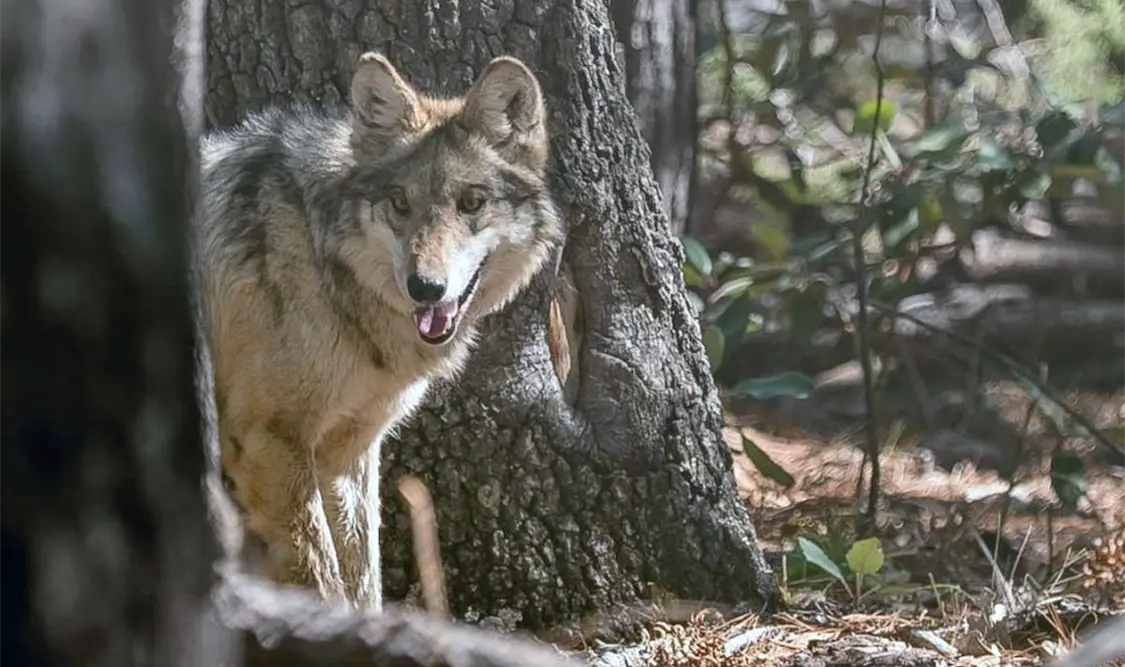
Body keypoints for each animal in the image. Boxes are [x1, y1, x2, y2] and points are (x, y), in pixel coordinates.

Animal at [192, 51, 564, 610]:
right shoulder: (270, 440)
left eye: (472, 203)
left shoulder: (347, 453)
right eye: (400, 202)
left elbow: (363, 580)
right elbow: (321, 578)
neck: (322, 260)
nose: (425, 288)